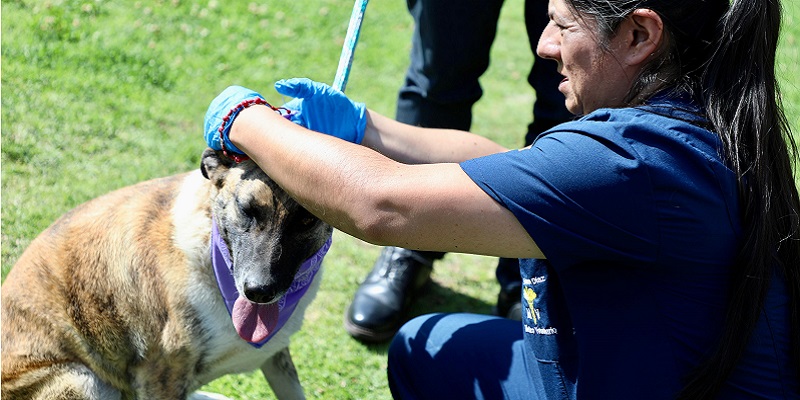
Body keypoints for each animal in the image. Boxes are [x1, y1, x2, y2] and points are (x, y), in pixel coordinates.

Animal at [0, 148, 332, 398]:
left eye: (306, 221)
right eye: (246, 209)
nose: (259, 291)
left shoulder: (278, 358)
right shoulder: (163, 374)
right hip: (81, 380)